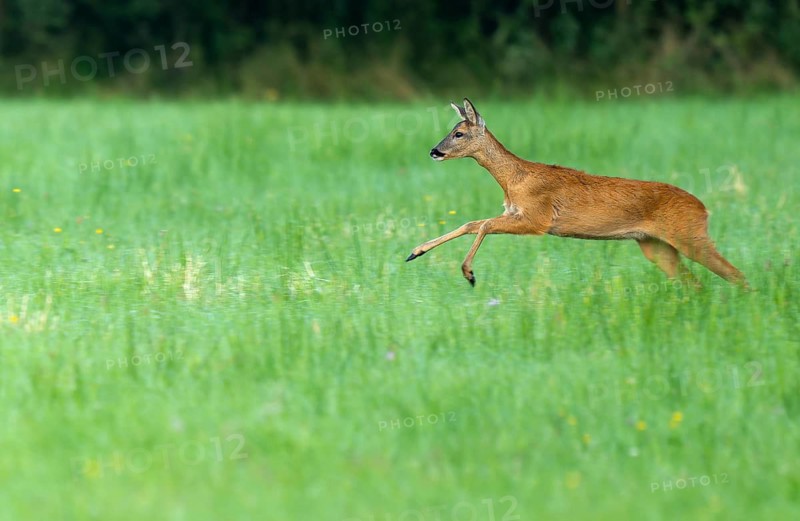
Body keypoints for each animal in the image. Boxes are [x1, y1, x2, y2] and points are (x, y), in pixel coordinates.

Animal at [406, 98, 749, 289]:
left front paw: (469, 273)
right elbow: (472, 223)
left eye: (459, 133)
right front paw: (414, 252)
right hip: (656, 246)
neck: (515, 179)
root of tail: (703, 209)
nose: (434, 151)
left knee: (736, 275)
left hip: (690, 236)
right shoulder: (514, 213)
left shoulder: (538, 219)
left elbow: (484, 225)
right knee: (696, 283)